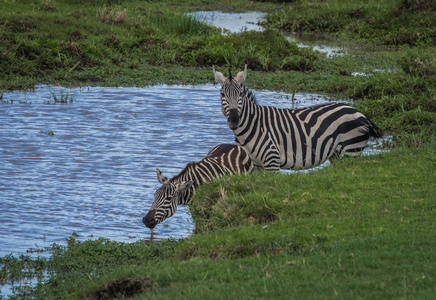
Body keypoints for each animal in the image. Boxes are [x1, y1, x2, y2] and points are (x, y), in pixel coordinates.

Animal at [214, 64, 382, 172]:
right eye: (222, 94)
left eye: (240, 94)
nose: (234, 119)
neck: (251, 127)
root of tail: (361, 114)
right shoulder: (255, 164)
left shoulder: (272, 160)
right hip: (338, 155)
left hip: (350, 152)